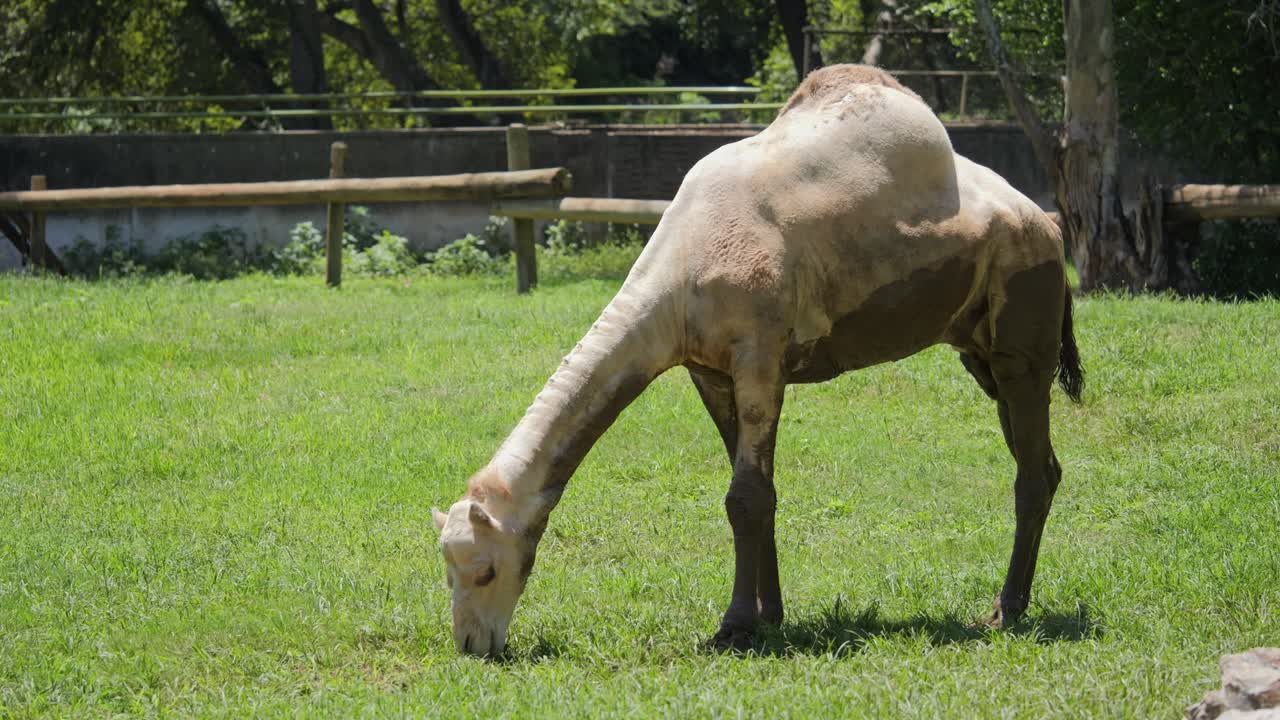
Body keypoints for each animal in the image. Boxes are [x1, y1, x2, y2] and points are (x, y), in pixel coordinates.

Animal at [432, 64, 1084, 657]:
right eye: (447, 569)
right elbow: (757, 491)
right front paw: (770, 615)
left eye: (486, 570)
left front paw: (736, 627)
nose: (471, 644)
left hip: (1023, 341)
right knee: (1042, 461)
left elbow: (744, 498)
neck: (684, 272)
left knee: (1032, 471)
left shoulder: (759, 358)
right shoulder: (709, 371)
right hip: (979, 353)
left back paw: (1005, 611)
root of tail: (1049, 227)